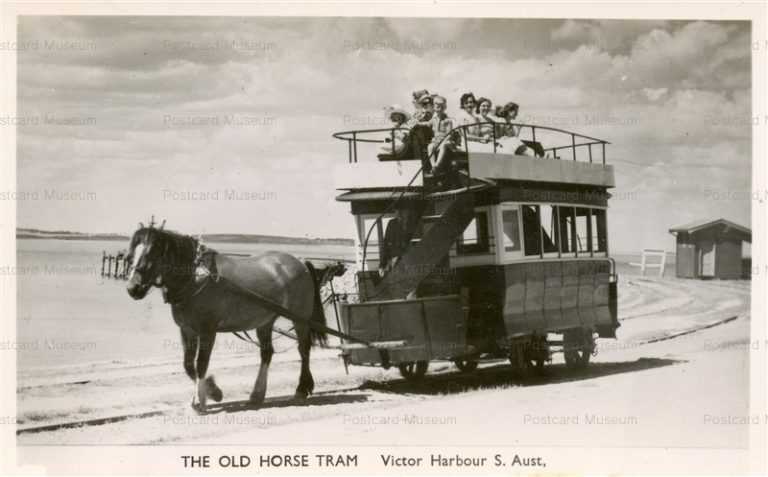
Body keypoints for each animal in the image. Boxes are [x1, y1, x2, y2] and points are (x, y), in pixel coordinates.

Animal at [124, 223, 332, 412]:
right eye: (131, 254)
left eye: (150, 254)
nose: (132, 288)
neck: (195, 277)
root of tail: (300, 261)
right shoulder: (187, 330)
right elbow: (188, 365)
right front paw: (213, 391)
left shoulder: (208, 331)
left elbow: (201, 363)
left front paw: (201, 400)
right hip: (265, 321)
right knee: (267, 353)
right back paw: (257, 394)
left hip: (300, 319)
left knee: (303, 350)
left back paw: (301, 389)